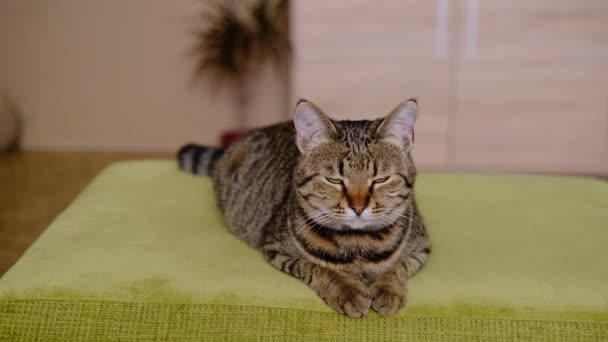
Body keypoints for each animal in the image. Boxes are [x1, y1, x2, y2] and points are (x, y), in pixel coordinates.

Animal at [178, 99, 430, 318]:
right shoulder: (276, 249)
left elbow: (397, 267)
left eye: (381, 179)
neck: (358, 243)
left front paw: (387, 290)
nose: (358, 207)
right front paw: (348, 291)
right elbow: (319, 268)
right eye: (334, 180)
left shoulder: (421, 249)